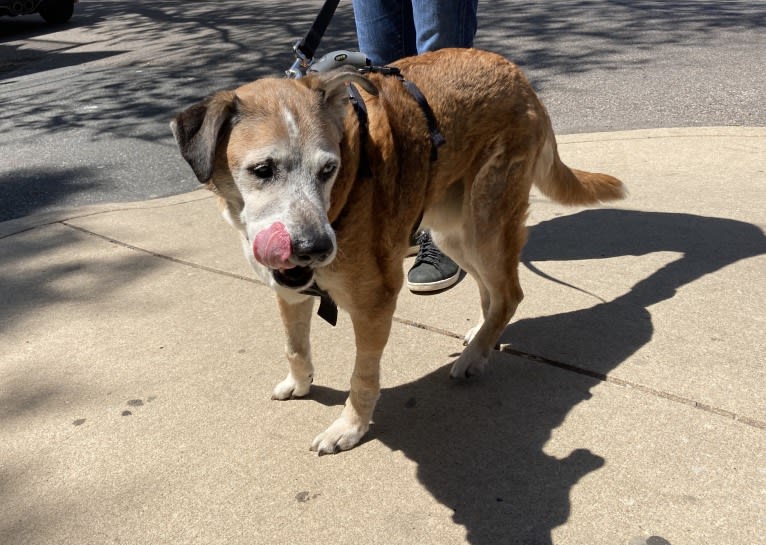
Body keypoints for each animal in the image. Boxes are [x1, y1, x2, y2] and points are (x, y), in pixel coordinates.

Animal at [171, 49, 628, 452]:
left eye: (328, 169)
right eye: (262, 170)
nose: (316, 248)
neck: (343, 193)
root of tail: (519, 76)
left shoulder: (374, 304)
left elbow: (362, 377)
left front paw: (350, 428)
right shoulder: (289, 292)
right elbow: (295, 347)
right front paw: (299, 386)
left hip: (484, 224)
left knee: (511, 292)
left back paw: (474, 355)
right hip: (453, 232)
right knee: (493, 291)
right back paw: (482, 335)